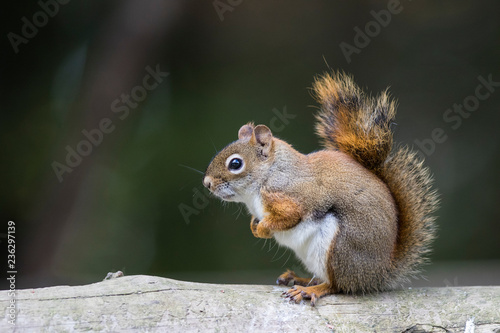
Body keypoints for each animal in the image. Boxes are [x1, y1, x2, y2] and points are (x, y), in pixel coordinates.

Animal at [201, 71, 436, 304]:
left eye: (235, 164)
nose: (207, 183)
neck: (267, 175)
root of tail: (379, 274)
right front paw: (254, 225)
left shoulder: (290, 196)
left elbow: (289, 216)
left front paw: (262, 228)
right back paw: (300, 279)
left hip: (339, 249)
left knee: (338, 285)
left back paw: (311, 290)